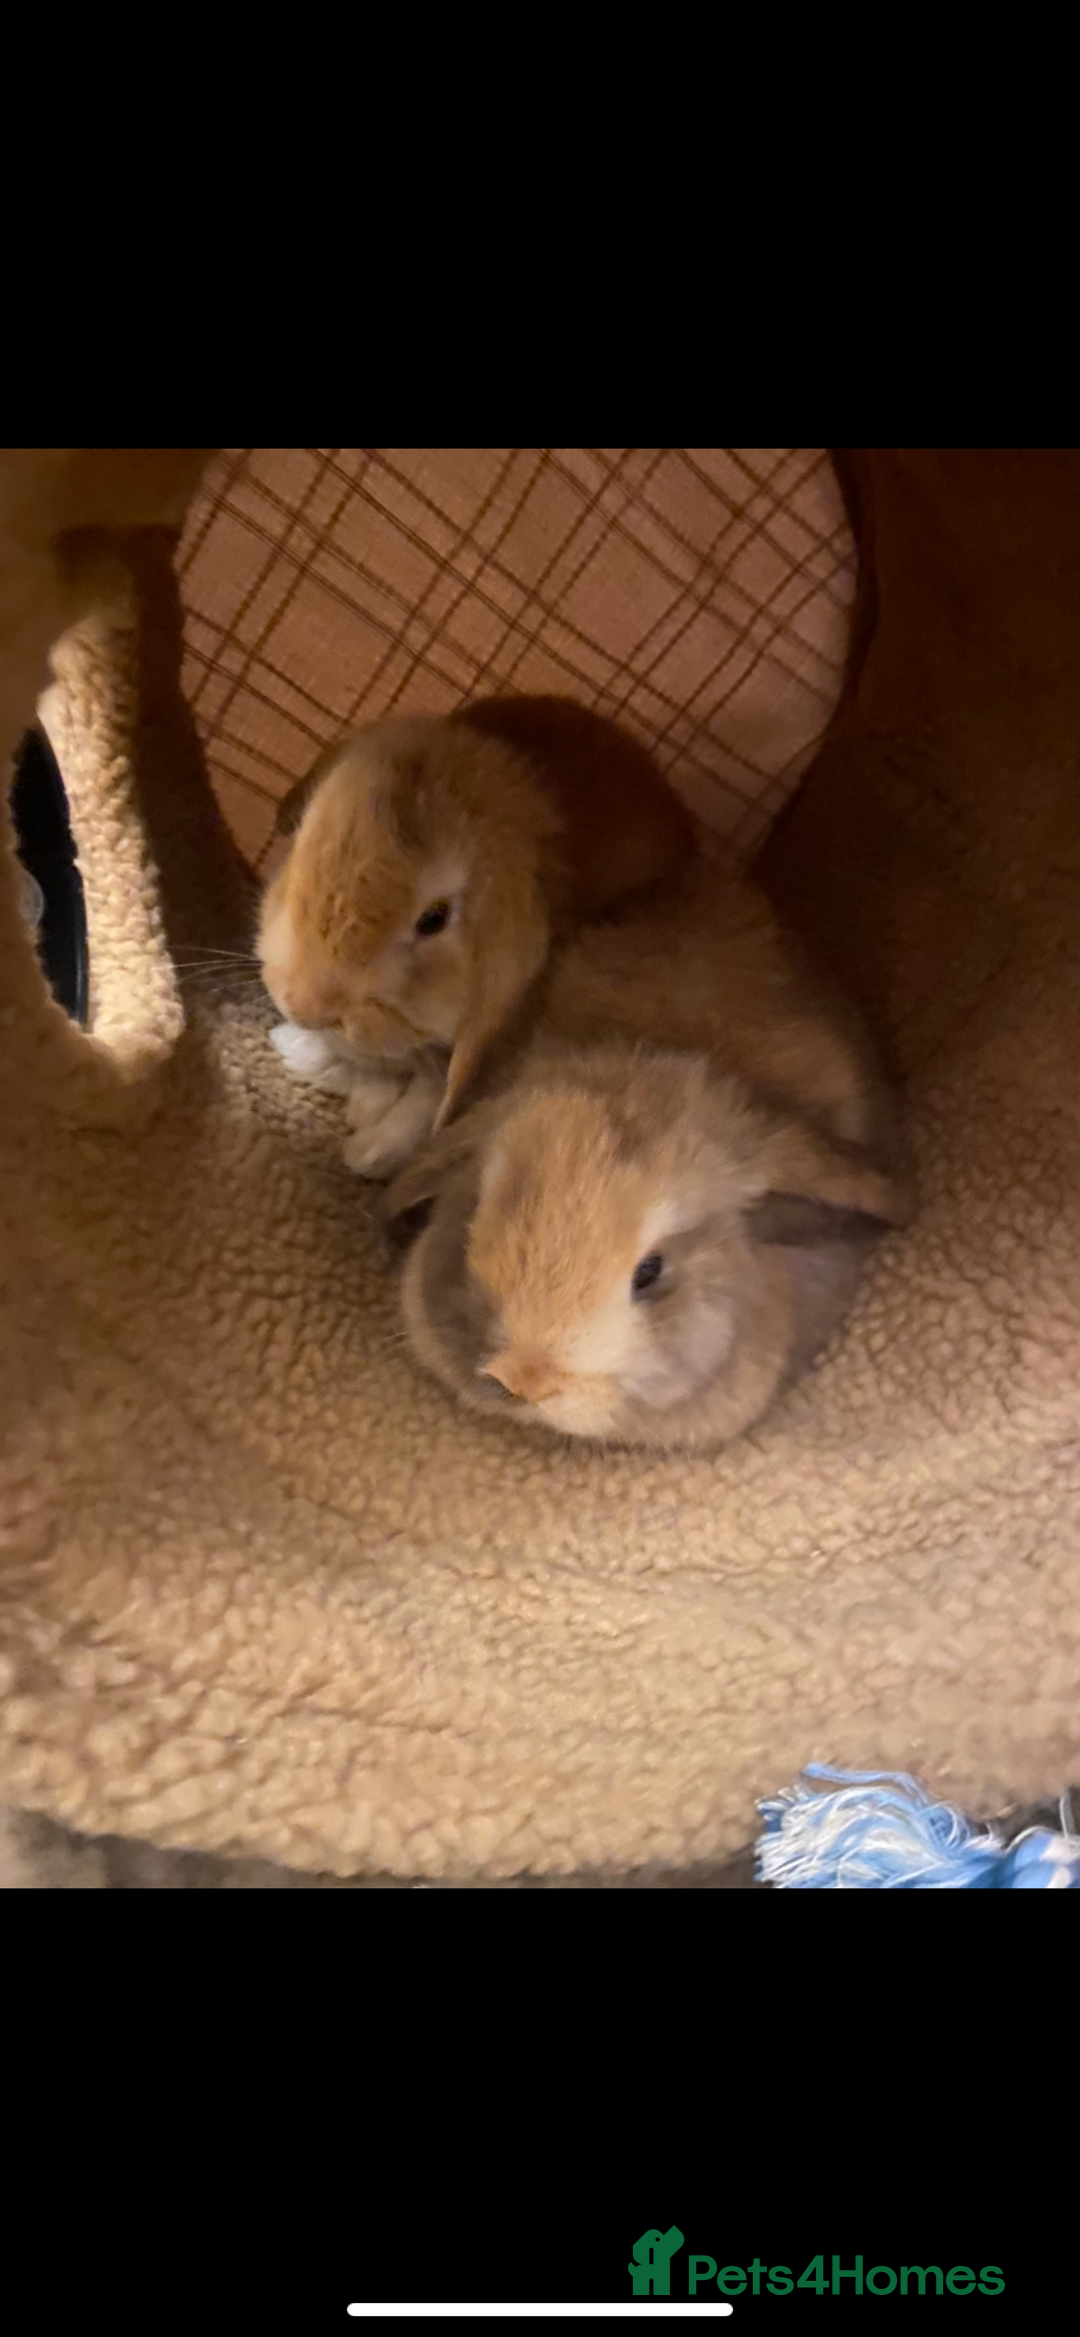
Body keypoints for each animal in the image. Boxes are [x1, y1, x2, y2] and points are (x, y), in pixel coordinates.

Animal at [257, 694, 693, 1175]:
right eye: (301, 834)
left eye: (434, 919)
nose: (303, 1005)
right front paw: (304, 1053)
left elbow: (428, 1097)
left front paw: (367, 1149)